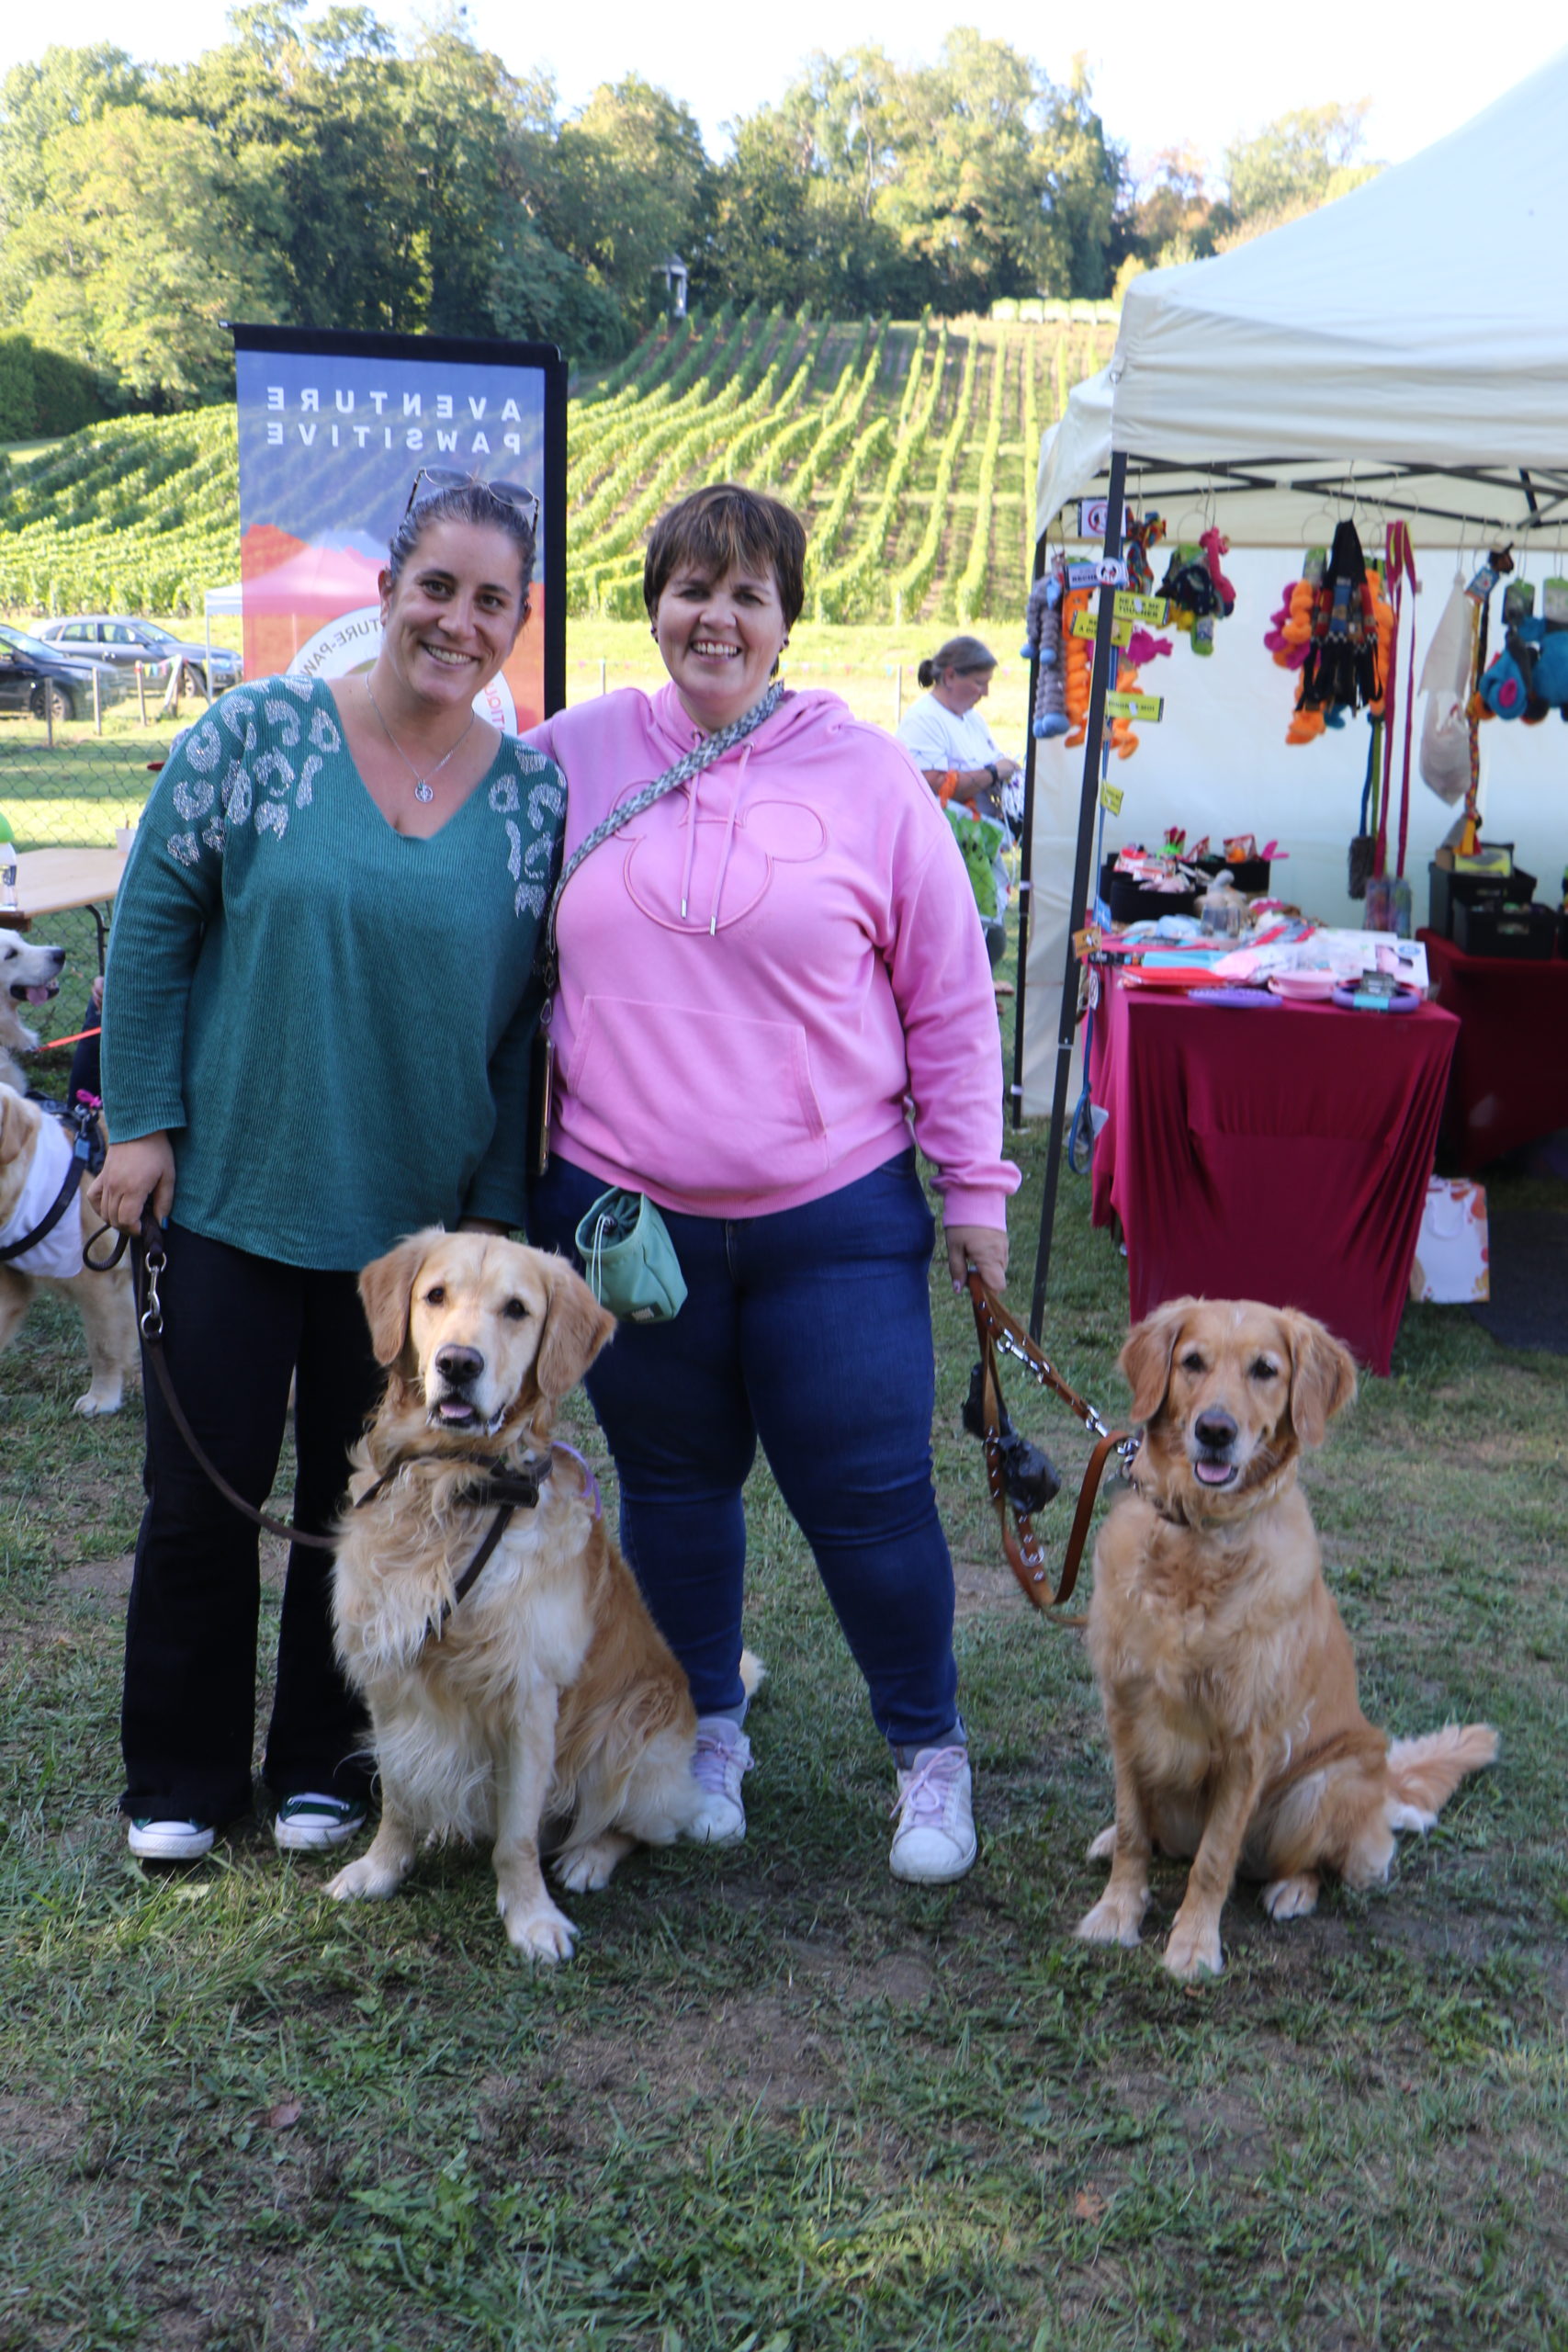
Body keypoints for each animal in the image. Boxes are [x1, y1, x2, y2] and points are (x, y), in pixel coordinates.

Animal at [329, 1228, 745, 1962]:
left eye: (517, 1310)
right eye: (435, 1296)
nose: (457, 1363)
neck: (456, 1489)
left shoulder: (528, 1697)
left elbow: (517, 1836)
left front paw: (531, 1919)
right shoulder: (390, 1672)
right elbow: (399, 1794)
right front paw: (380, 1869)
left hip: (628, 1739)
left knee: (633, 1827)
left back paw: (587, 1858)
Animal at [1076, 1297, 1497, 1981]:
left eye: (1265, 1370)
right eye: (1192, 1362)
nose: (1214, 1430)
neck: (1201, 1540)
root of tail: (1385, 1788)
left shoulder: (1248, 1742)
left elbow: (1214, 1860)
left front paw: (1193, 1945)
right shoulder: (1125, 1711)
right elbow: (1134, 1828)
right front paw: (1116, 1912)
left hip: (1320, 1787)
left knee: (1317, 1864)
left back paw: (1294, 1890)